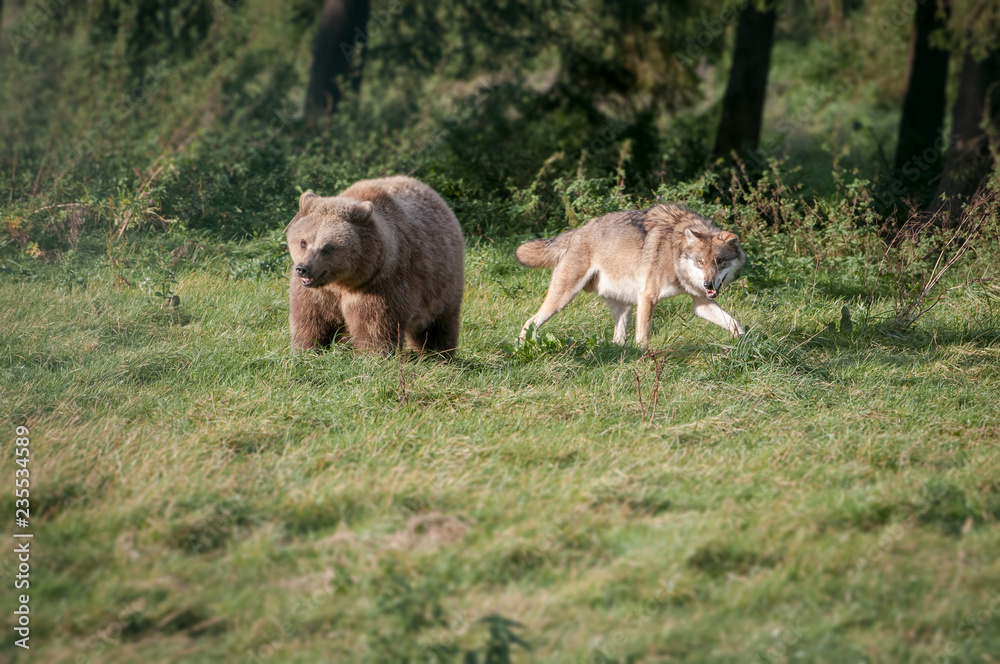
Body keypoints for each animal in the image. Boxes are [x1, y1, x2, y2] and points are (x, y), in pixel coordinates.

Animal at [286, 174, 464, 356]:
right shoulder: (319, 294)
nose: (303, 269)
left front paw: (374, 354)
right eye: (303, 242)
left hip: (441, 282)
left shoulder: (380, 284)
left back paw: (438, 353)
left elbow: (374, 325)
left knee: (438, 324)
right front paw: (305, 349)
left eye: (327, 247)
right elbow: (312, 320)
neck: (342, 282)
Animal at [520, 204, 748, 344]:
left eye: (719, 262)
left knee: (618, 341)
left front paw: (745, 345)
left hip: (625, 307)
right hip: (562, 299)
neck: (674, 252)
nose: (708, 285)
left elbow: (736, 324)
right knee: (530, 322)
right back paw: (523, 345)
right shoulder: (647, 296)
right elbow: (643, 336)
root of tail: (576, 232)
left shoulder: (701, 303)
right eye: (700, 262)